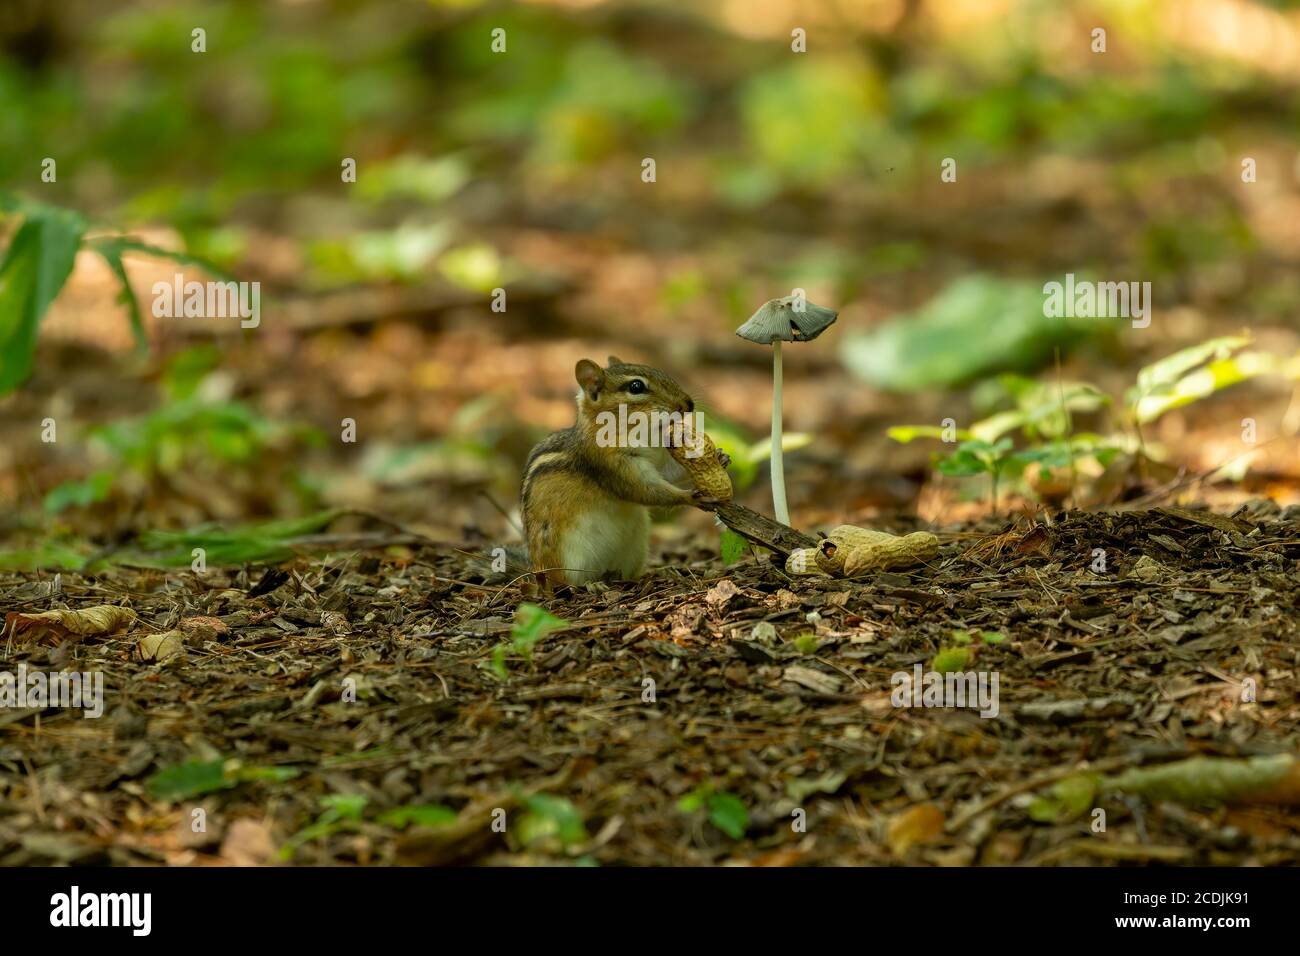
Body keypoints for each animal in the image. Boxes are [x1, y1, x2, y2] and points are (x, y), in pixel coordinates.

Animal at [521, 356, 727, 588]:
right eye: (636, 386)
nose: (689, 404)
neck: (641, 435)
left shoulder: (657, 459)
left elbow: (667, 474)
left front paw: (721, 458)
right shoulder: (610, 464)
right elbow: (644, 490)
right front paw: (690, 497)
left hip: (635, 547)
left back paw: (659, 572)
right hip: (565, 559)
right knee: (566, 583)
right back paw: (592, 584)